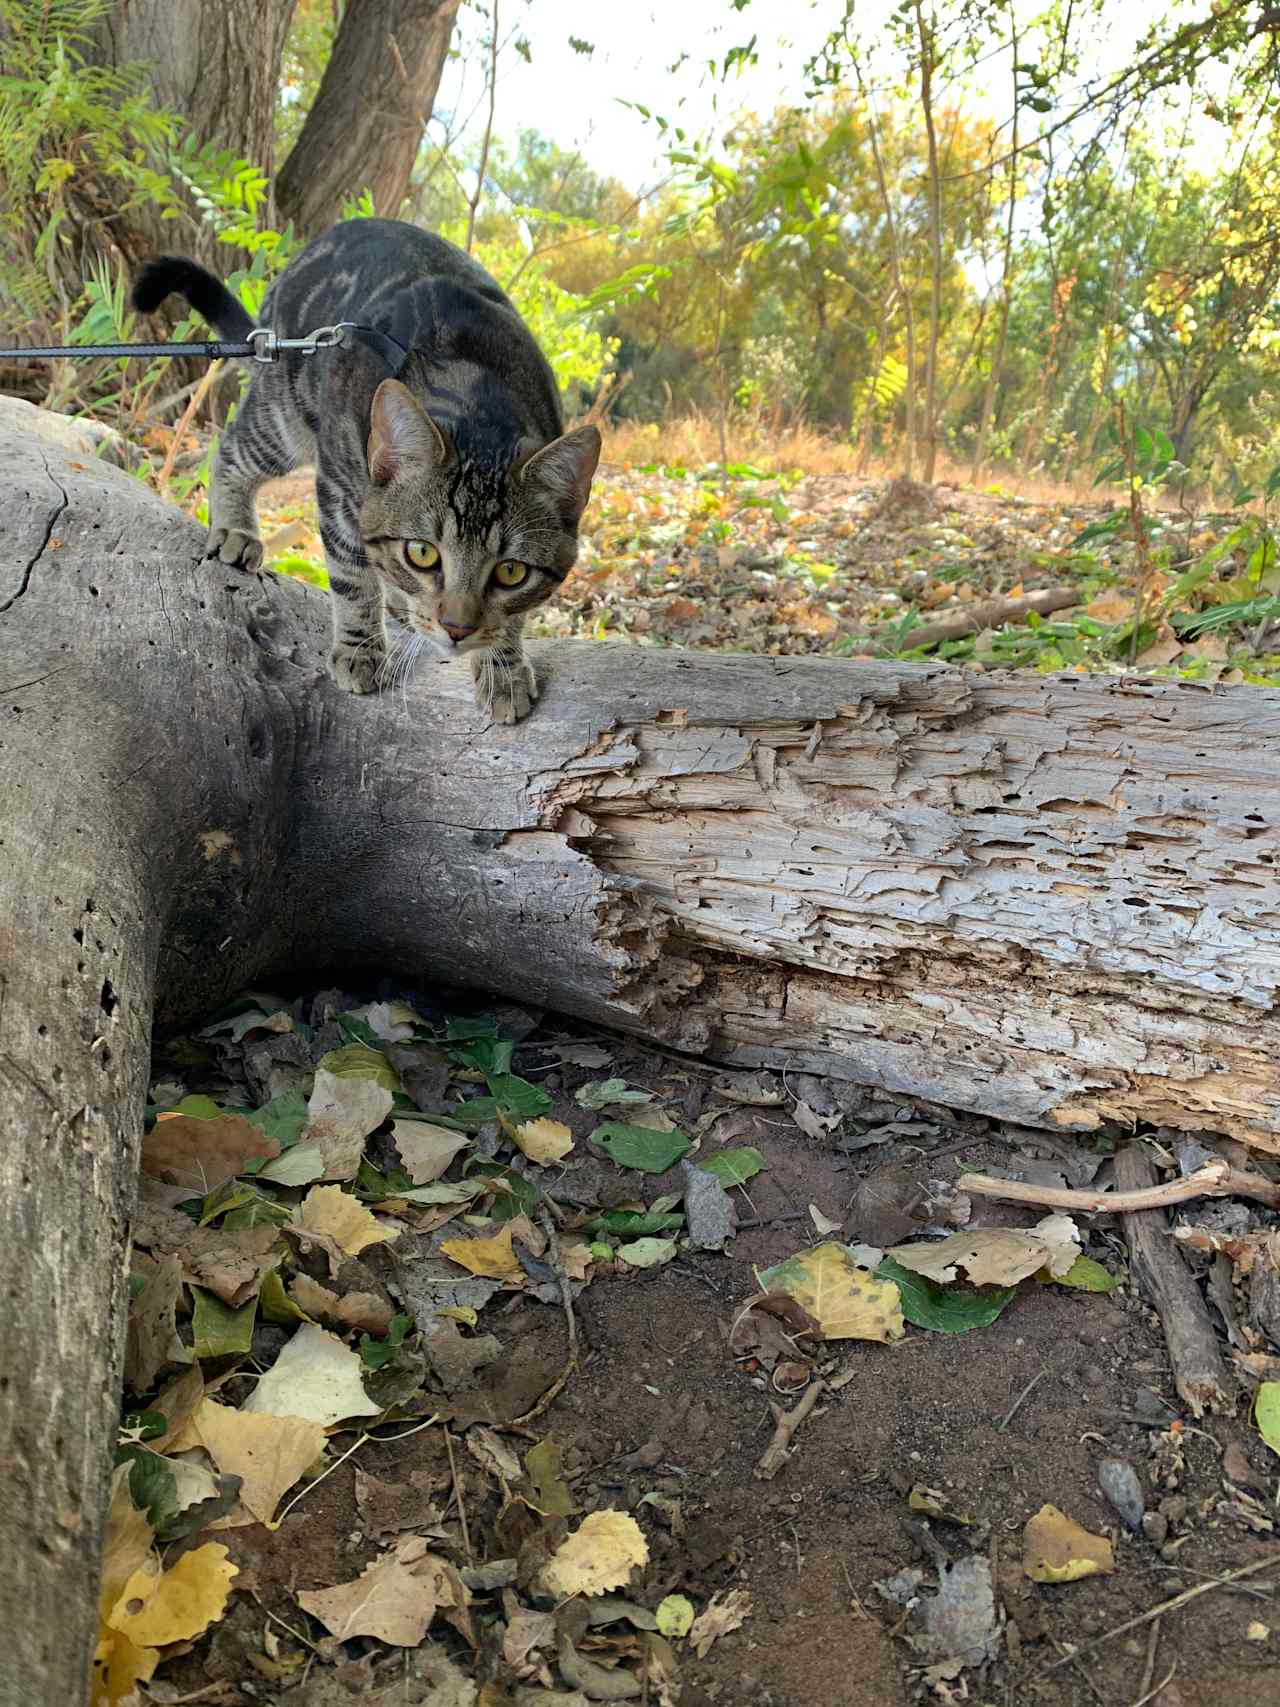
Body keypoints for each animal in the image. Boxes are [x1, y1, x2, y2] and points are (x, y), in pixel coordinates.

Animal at [133, 216, 604, 716]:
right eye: (423, 553)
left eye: (511, 572)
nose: (457, 628)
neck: (476, 397)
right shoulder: (340, 492)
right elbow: (352, 577)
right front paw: (359, 647)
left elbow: (512, 615)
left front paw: (502, 666)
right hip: (285, 415)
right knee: (230, 452)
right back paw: (234, 529)